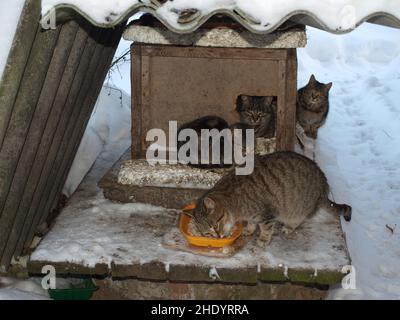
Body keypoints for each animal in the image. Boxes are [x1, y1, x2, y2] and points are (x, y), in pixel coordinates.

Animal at [189, 151, 352, 246]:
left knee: (298, 219)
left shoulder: (266, 214)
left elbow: (266, 228)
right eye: (207, 233)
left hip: (297, 210)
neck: (233, 200)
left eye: (215, 225)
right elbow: (252, 223)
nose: (217, 236)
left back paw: (288, 227)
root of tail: (324, 186)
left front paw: (263, 239)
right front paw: (249, 229)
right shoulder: (253, 216)